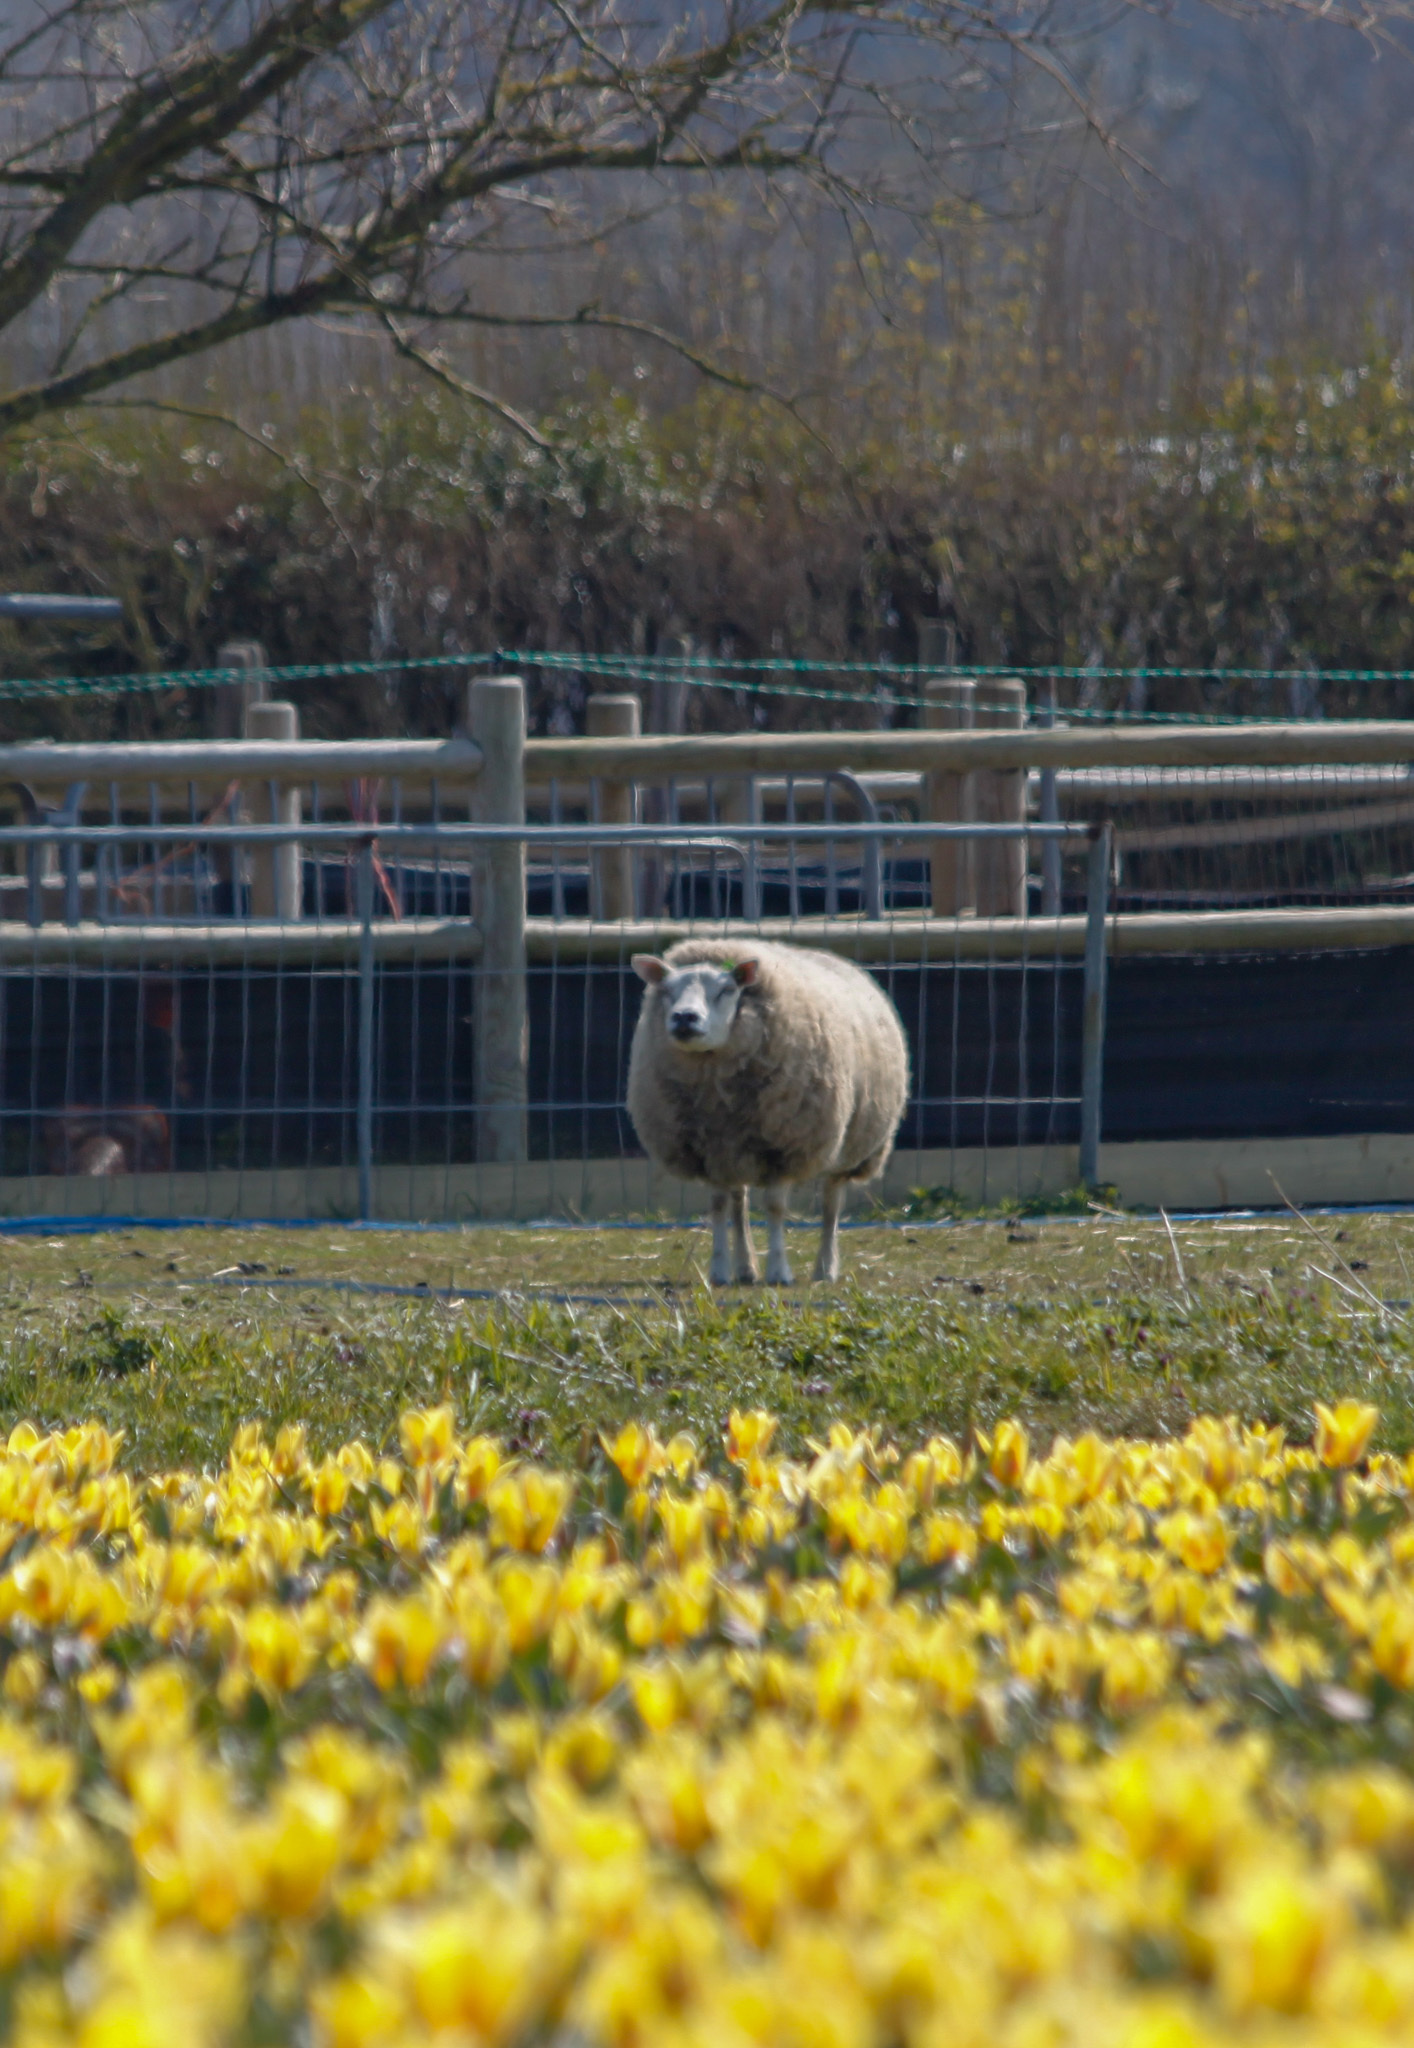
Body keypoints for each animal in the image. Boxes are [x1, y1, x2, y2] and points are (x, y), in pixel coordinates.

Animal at [627, 937, 901, 1286]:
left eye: (727, 989)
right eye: (666, 989)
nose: (685, 1017)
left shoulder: (783, 1147)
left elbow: (774, 1208)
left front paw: (779, 1271)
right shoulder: (711, 1151)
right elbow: (719, 1206)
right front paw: (719, 1271)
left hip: (848, 1144)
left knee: (831, 1203)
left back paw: (825, 1268)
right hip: (737, 1151)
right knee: (739, 1203)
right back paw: (745, 1269)